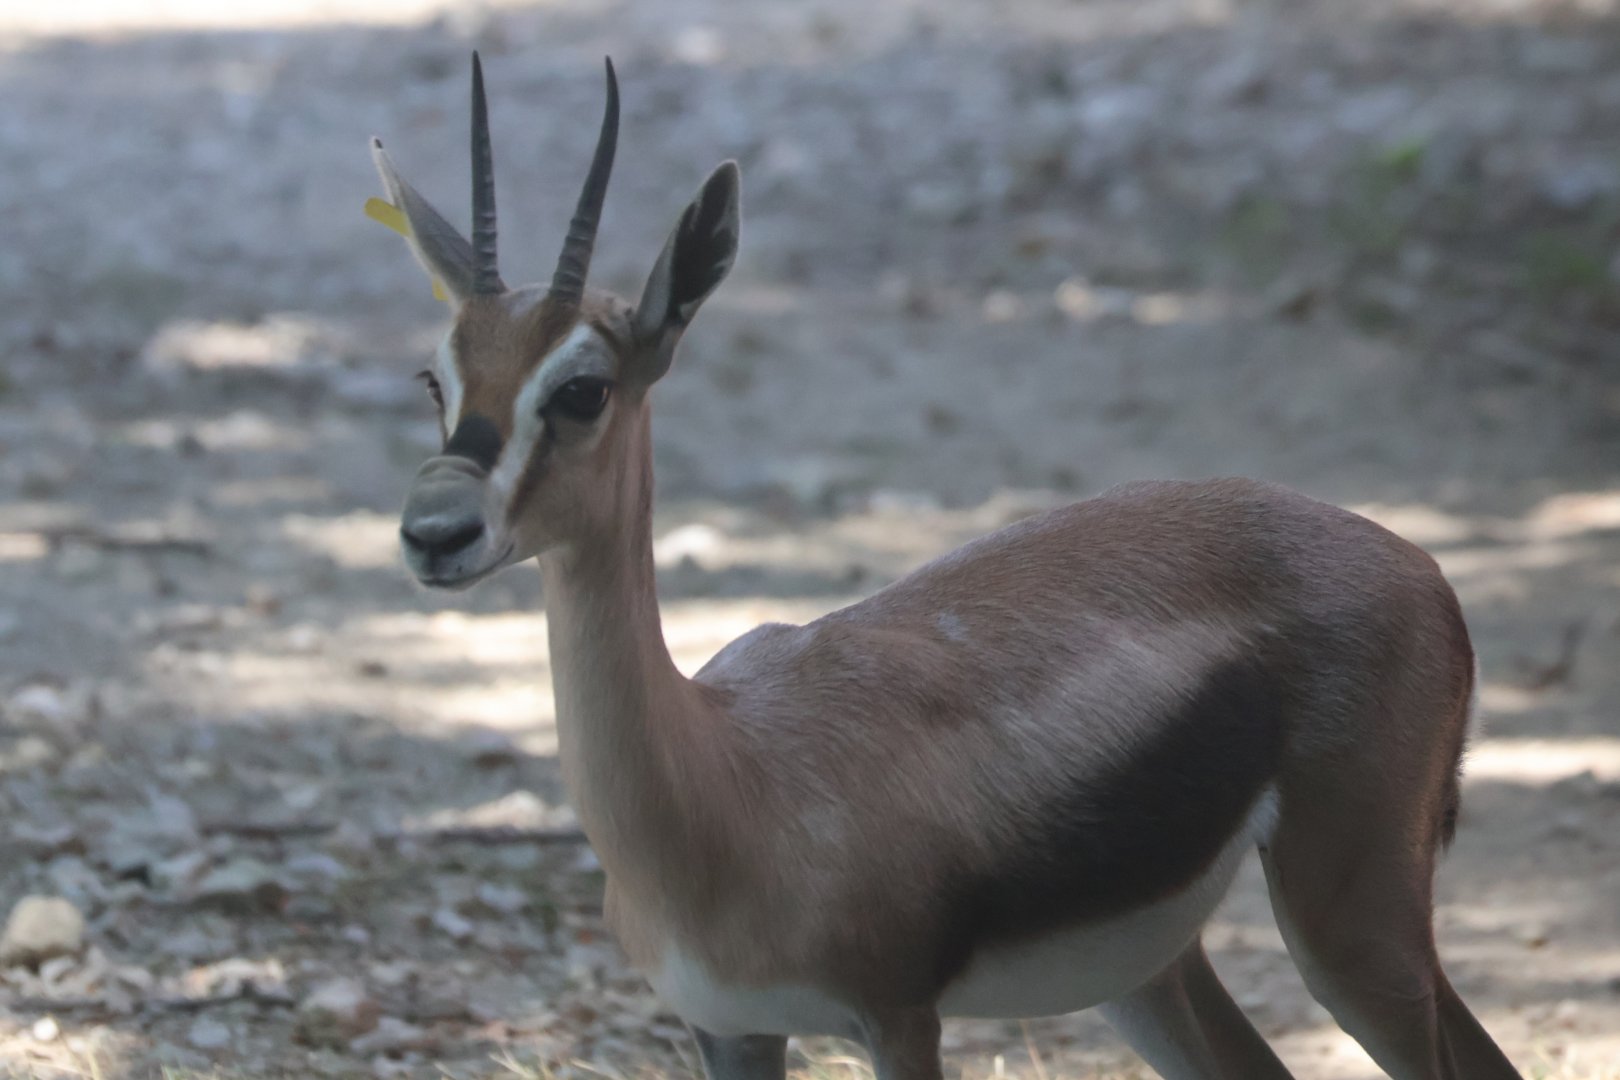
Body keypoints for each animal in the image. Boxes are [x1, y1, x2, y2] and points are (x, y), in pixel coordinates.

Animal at [367, 56, 1523, 1080]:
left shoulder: (895, 1016)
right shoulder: (731, 1032)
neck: (721, 783)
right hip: (1153, 973)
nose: (436, 534)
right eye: (438, 376)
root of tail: (1418, 567)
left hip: (1351, 928)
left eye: (582, 389)